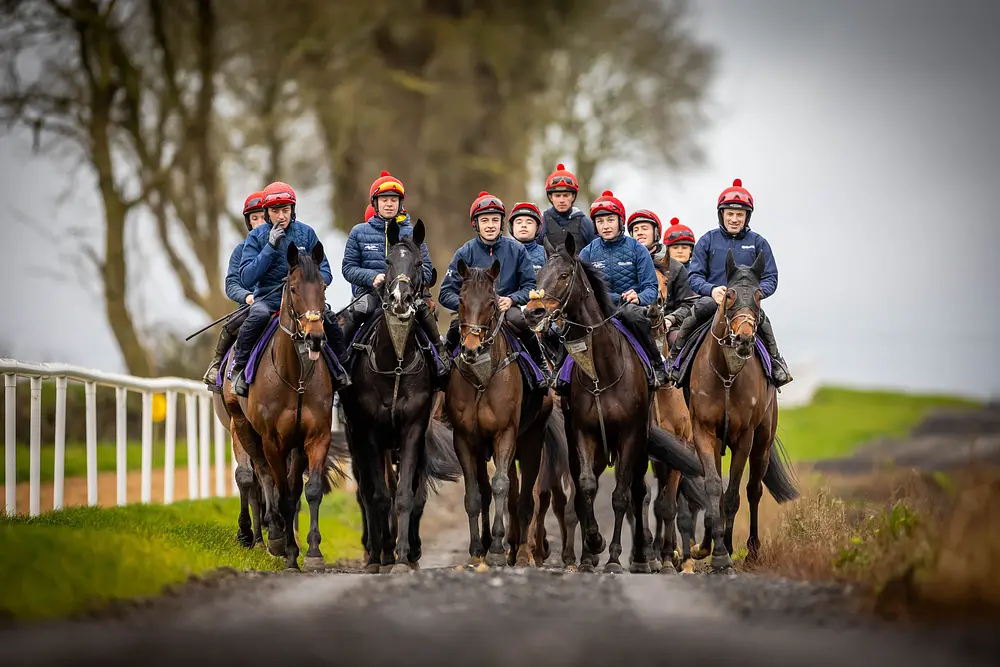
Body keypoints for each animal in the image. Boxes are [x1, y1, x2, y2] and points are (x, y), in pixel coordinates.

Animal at [220, 242, 339, 570]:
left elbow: (309, 490)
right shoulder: (273, 440)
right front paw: (284, 548)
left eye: (323, 286)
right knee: (258, 475)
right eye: (295, 288)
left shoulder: (315, 436)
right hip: (243, 426)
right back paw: (267, 535)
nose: (315, 337)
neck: (295, 378)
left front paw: (312, 552)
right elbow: (279, 491)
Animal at [445, 259, 553, 568]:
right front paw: (476, 549)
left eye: (492, 302)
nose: (470, 349)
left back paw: (524, 552)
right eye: (461, 300)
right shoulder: (464, 438)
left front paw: (495, 549)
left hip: (531, 439)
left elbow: (501, 485)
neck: (482, 378)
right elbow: (474, 494)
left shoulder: (505, 434)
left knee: (525, 496)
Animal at [524, 235, 703, 573]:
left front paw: (617, 558)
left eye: (564, 275)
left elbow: (623, 495)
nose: (533, 312)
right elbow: (586, 488)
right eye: (538, 278)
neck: (602, 373)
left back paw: (648, 556)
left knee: (640, 493)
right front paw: (593, 546)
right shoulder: (583, 433)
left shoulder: (631, 436)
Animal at [685, 249, 800, 572]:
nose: (745, 339)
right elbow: (713, 488)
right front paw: (709, 548)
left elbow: (734, 496)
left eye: (759, 295)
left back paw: (750, 551)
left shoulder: (744, 438)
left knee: (753, 490)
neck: (726, 375)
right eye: (729, 295)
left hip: (762, 442)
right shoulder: (703, 432)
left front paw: (724, 555)